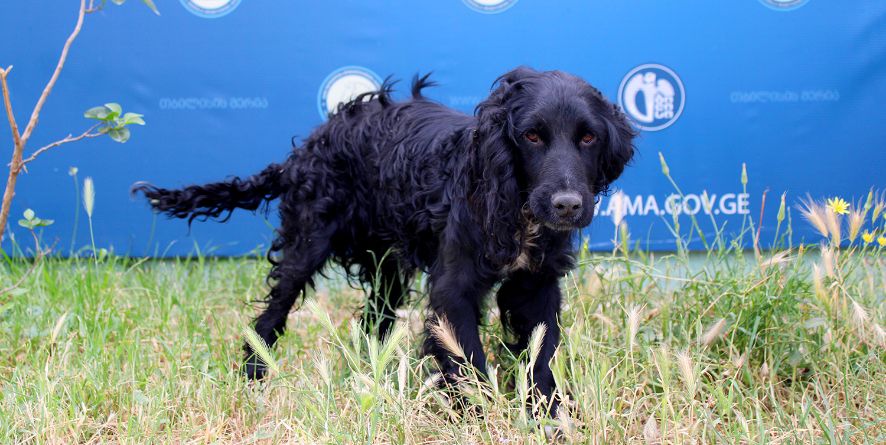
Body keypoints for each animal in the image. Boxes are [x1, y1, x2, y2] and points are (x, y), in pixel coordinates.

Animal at [135, 65, 636, 406]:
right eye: (532, 136)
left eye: (588, 138)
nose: (568, 205)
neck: (510, 198)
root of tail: (312, 143)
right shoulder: (453, 289)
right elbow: (468, 362)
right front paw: (481, 414)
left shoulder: (536, 284)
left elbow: (541, 356)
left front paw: (551, 416)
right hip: (307, 245)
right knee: (271, 315)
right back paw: (255, 374)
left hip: (388, 267)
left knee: (372, 322)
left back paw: (371, 376)